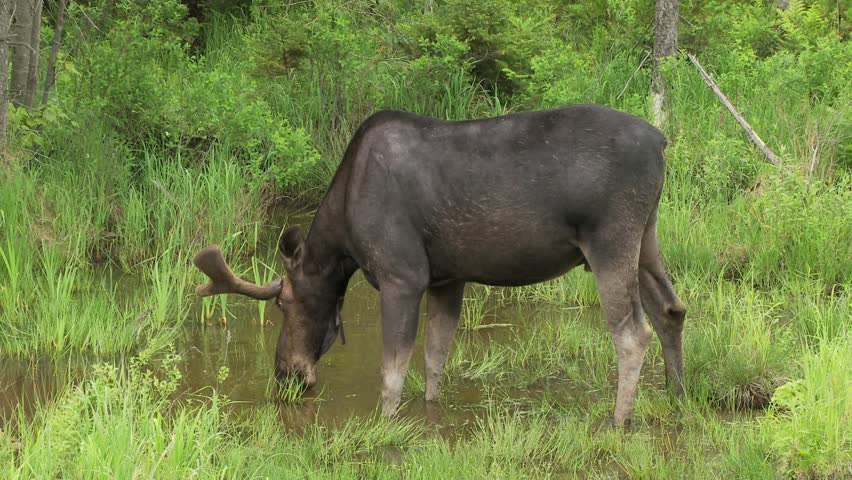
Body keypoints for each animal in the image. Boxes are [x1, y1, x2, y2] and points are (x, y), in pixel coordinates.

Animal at [192, 105, 686, 427]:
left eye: (284, 302)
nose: (285, 374)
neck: (344, 241)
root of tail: (662, 143)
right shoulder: (448, 278)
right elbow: (435, 359)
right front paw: (431, 416)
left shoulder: (402, 275)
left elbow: (392, 372)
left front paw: (385, 427)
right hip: (647, 235)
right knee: (671, 309)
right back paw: (678, 397)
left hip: (610, 238)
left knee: (632, 333)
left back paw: (619, 421)